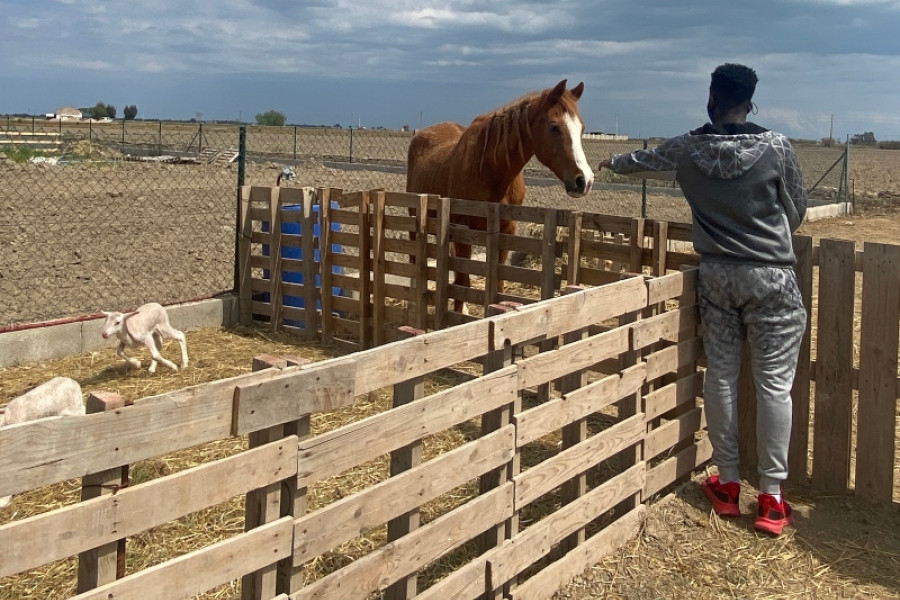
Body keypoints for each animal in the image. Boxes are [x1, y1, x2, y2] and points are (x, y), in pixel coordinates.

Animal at [406, 79, 592, 312]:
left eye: (581, 128)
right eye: (554, 126)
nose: (584, 180)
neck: (490, 169)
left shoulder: (506, 229)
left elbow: (498, 283)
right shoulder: (463, 231)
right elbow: (463, 281)